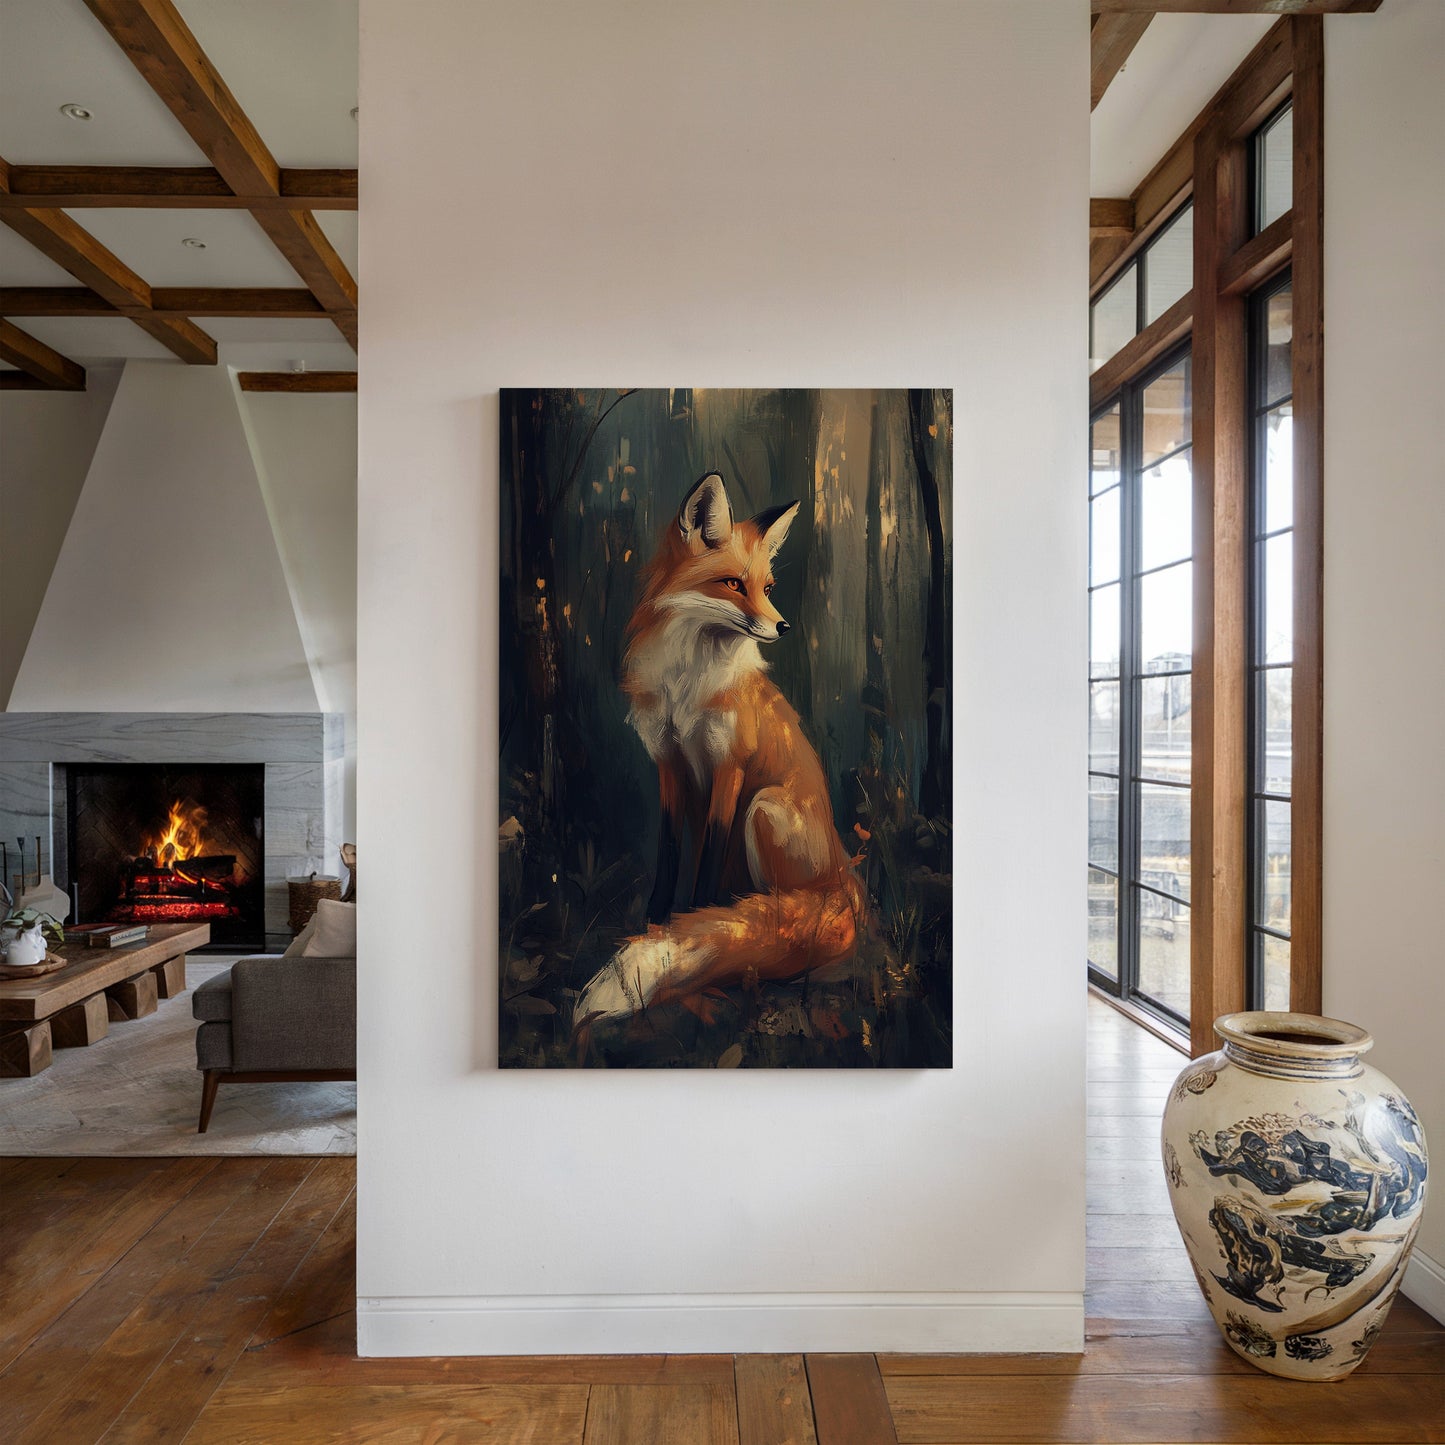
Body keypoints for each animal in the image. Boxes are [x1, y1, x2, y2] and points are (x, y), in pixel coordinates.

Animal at [575, 471, 865, 1026]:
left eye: (767, 588)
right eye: (733, 584)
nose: (784, 626)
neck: (687, 686)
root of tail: (846, 881)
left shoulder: (729, 766)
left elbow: (707, 854)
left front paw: (694, 919)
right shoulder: (668, 762)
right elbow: (670, 851)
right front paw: (657, 921)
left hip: (764, 807)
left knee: (785, 917)